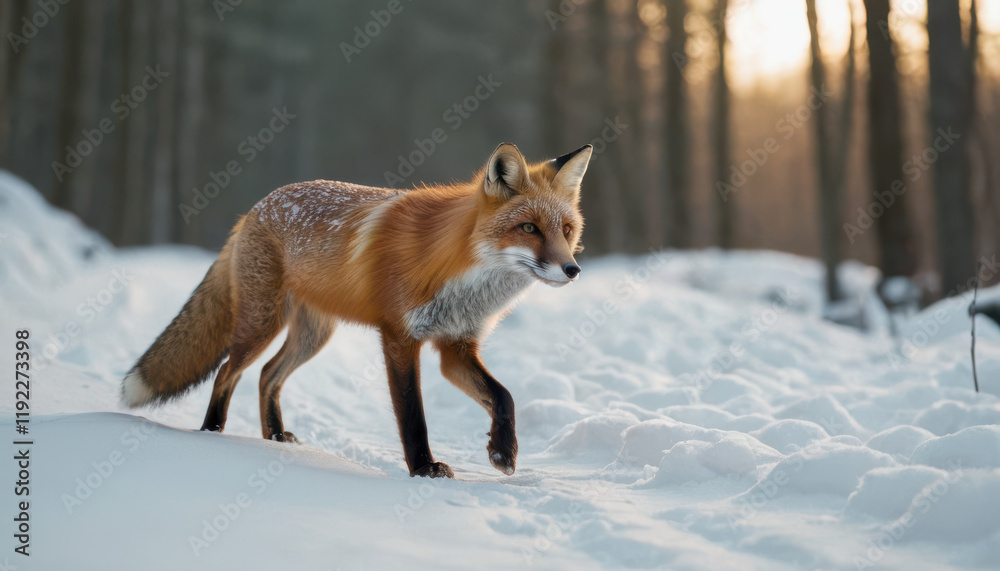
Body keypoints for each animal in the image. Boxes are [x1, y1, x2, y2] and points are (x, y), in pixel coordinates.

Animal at [121, 142, 592, 478]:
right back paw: (211, 435)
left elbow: (503, 396)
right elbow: (412, 414)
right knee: (226, 372)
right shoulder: (399, 337)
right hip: (261, 325)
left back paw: (274, 437)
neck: (456, 268)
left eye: (567, 230)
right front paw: (423, 468)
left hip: (314, 335)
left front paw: (502, 451)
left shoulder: (456, 346)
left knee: (267, 375)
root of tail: (256, 207)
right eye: (529, 228)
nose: (572, 269)